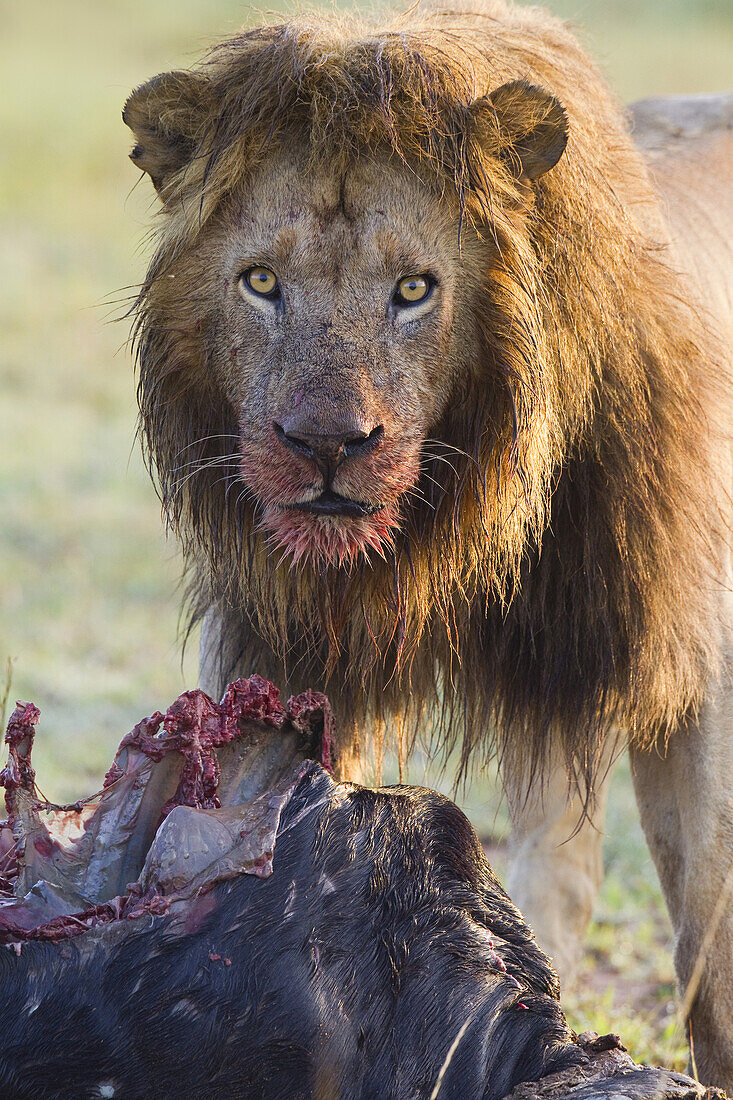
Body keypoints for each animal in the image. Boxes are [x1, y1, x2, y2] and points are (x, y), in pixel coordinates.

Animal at [122, 0, 730, 1082]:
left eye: (413, 289)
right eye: (261, 281)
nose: (325, 445)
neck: (451, 530)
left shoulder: (649, 660)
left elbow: (688, 917)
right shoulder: (287, 657)